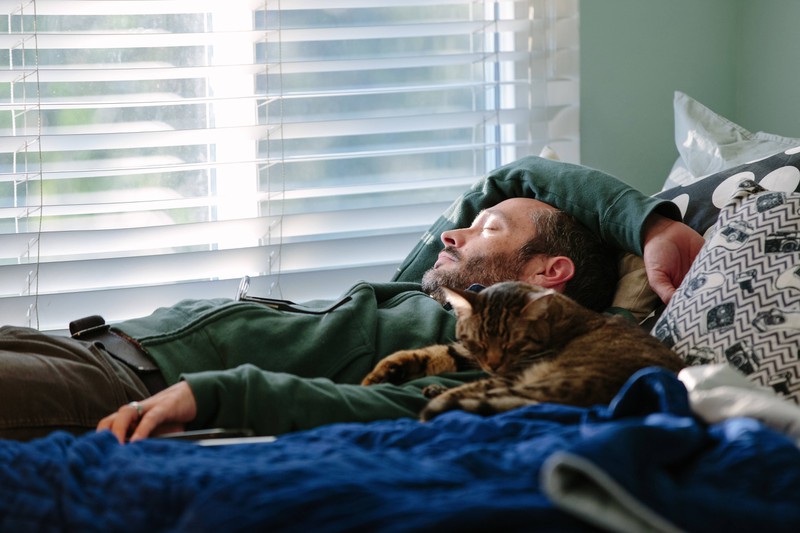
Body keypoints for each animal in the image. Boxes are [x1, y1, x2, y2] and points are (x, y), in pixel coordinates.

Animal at [360, 280, 680, 422]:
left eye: (512, 345)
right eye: (479, 344)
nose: (492, 364)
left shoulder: (512, 370)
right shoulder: (466, 353)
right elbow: (429, 354)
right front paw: (380, 373)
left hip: (544, 380)